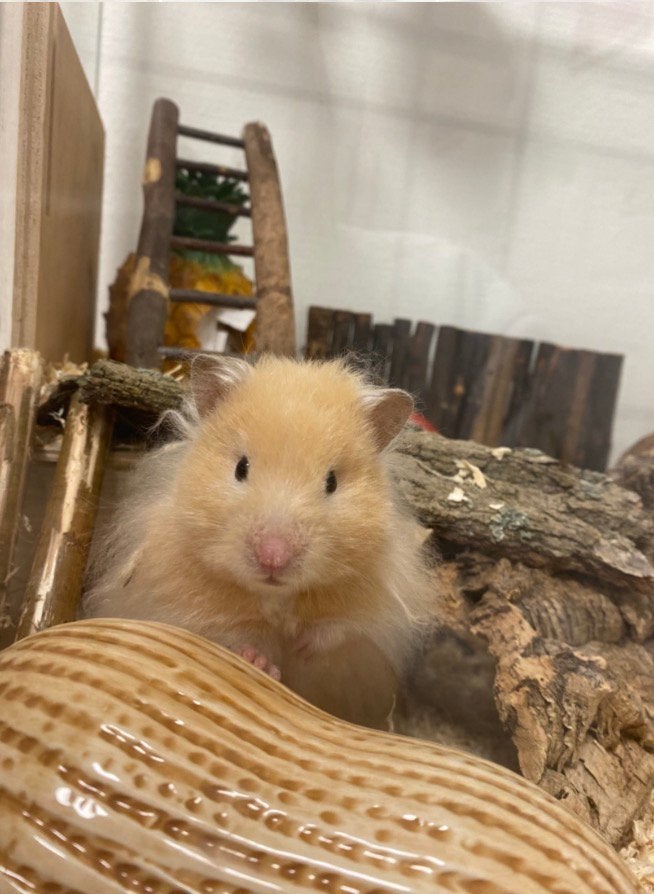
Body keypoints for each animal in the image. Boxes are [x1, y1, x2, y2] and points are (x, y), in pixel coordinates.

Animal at [84, 355, 435, 728]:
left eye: (332, 482)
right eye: (241, 467)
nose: (273, 557)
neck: (275, 595)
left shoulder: (380, 611)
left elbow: (340, 627)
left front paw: (301, 646)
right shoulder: (182, 601)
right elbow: (235, 634)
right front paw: (261, 662)